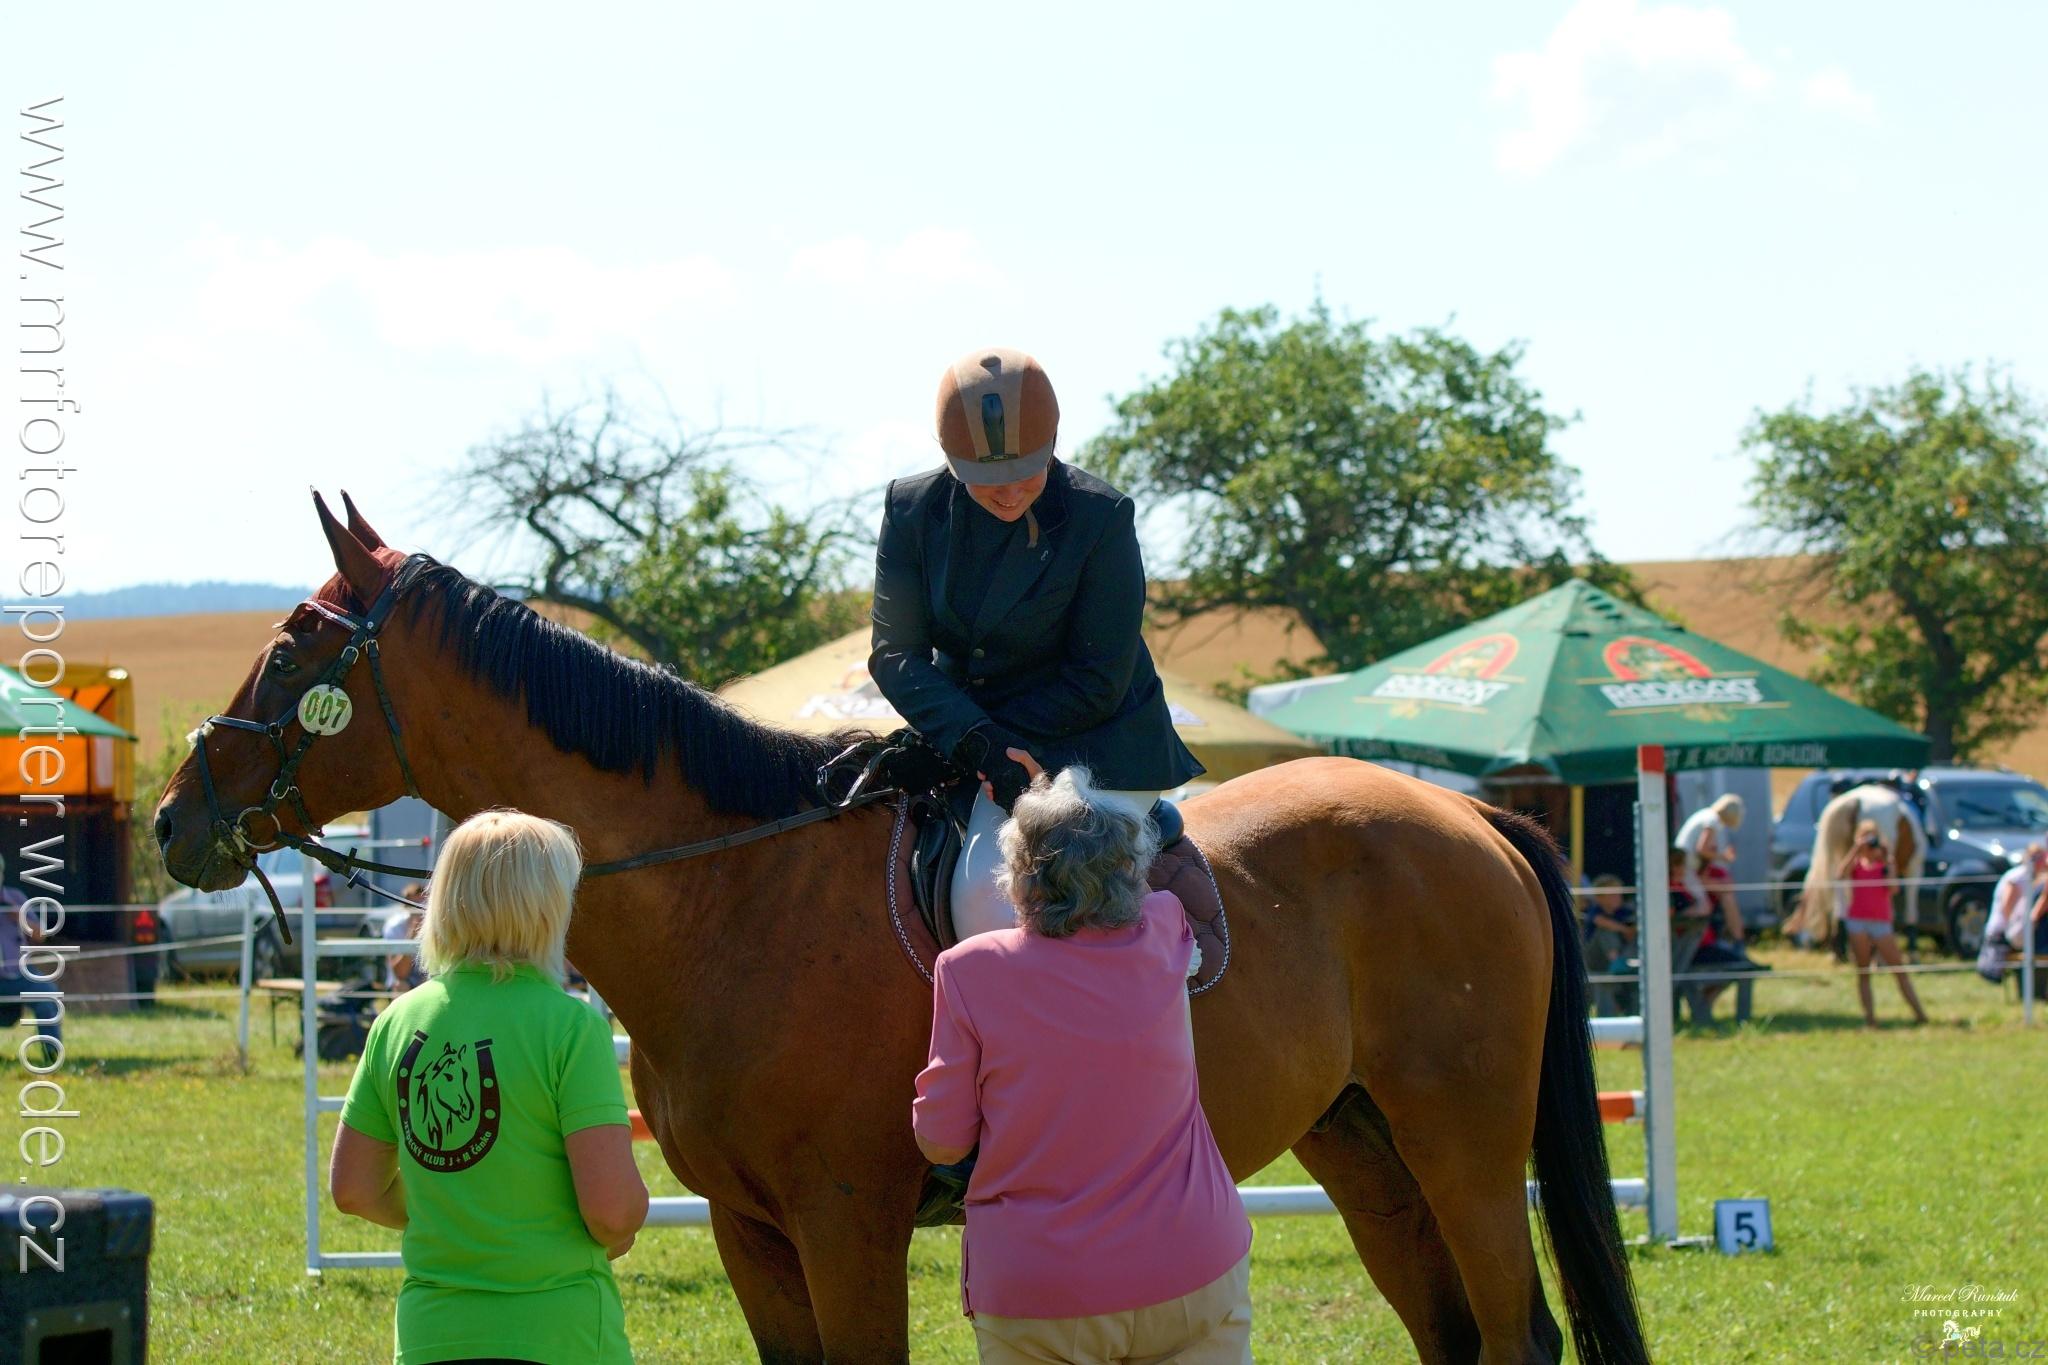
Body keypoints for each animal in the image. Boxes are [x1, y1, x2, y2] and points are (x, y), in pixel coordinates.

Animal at [152, 494, 1648, 1364]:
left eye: (294, 648)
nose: (175, 819)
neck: (732, 897)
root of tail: (1467, 816)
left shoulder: (846, 1224)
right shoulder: (754, 1233)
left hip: (1461, 1146)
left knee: (1514, 1335)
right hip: (1362, 1146)